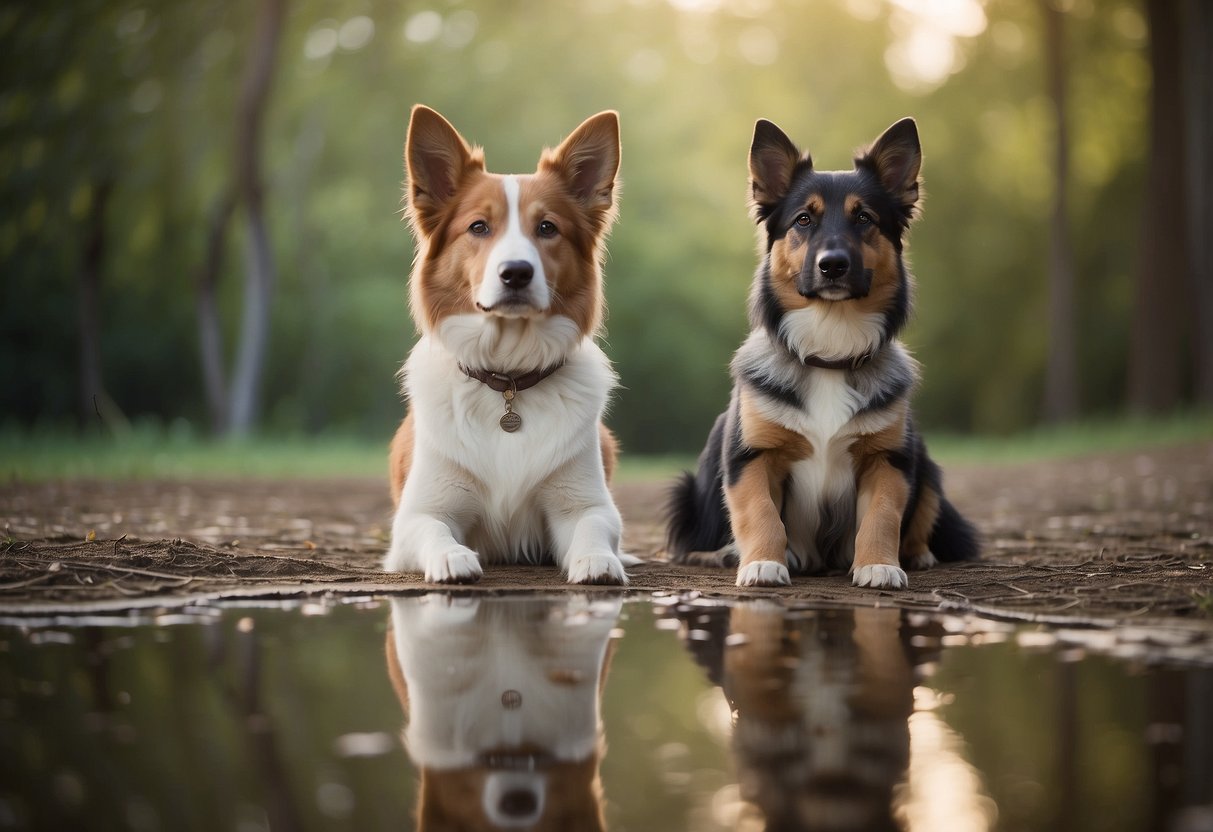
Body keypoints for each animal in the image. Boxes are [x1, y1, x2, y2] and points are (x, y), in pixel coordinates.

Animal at [385, 106, 635, 587]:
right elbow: (433, 530)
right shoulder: (418, 515)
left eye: (547, 228)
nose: (516, 272)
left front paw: (597, 560)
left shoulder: (584, 503)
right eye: (478, 227)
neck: (508, 378)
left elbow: (594, 525)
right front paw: (453, 557)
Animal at [664, 117, 975, 589]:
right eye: (803, 219)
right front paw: (762, 563)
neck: (830, 348)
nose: (832, 265)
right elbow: (761, 514)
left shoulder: (889, 460)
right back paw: (723, 553)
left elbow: (883, 516)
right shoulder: (751, 456)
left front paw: (879, 565)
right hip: (696, 476)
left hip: (926, 464)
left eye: (864, 217)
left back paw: (918, 554)